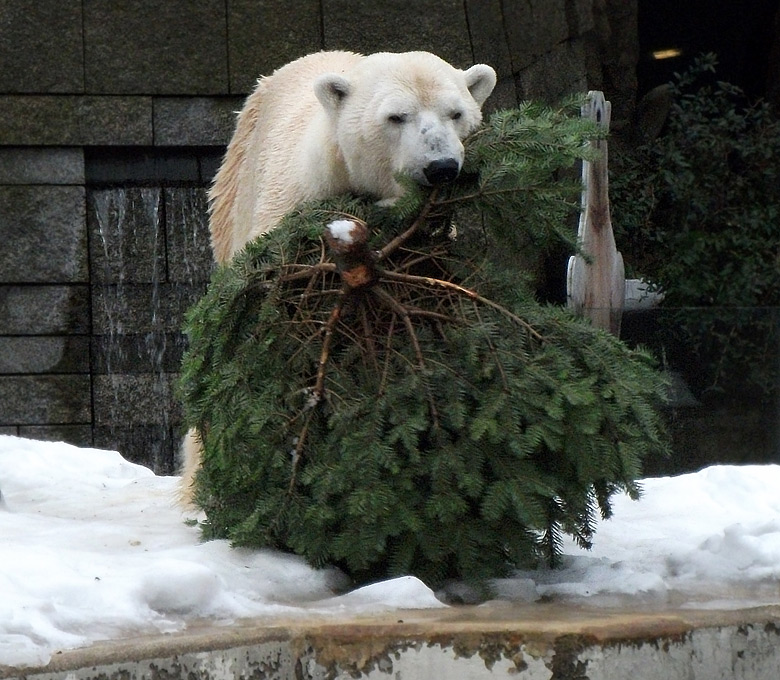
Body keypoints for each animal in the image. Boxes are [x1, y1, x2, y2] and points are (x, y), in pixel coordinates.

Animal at [183, 50, 494, 502]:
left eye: (456, 113)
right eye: (396, 117)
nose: (441, 167)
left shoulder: (428, 244)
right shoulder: (288, 208)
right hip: (238, 181)